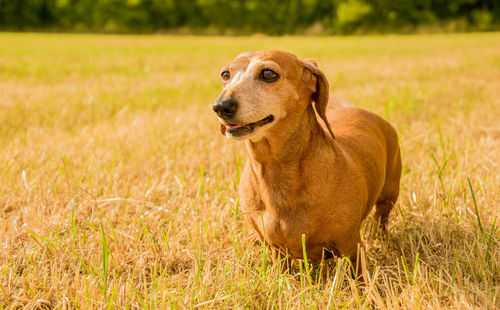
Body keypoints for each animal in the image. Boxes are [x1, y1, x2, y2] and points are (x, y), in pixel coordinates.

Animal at [213, 50, 400, 262]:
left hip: (389, 194)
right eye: (225, 75)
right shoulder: (276, 250)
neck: (276, 173)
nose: (221, 106)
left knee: (381, 219)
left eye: (268, 73)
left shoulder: (350, 247)